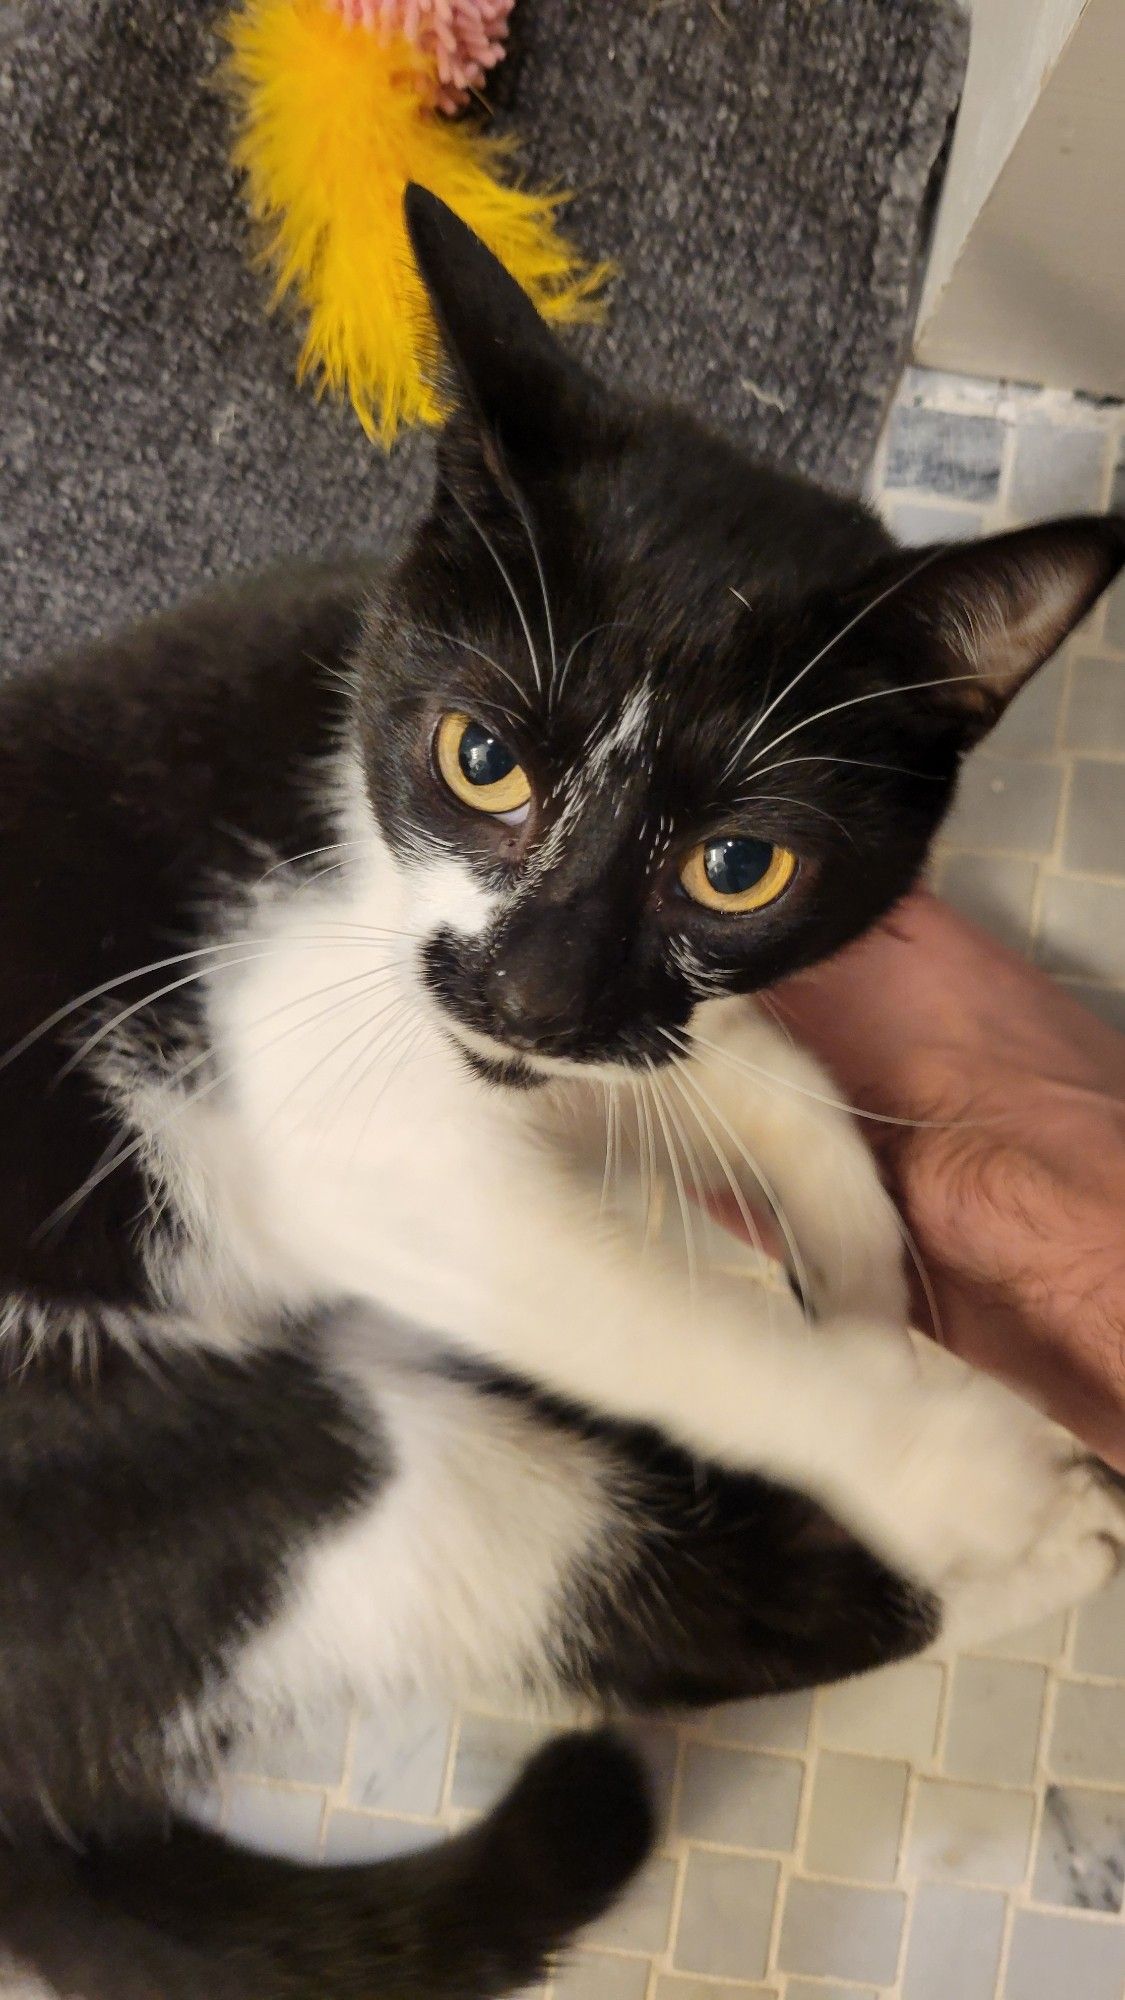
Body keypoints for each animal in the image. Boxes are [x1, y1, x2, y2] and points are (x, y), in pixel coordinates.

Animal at [2, 188, 1120, 2000]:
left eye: (739, 865)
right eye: (482, 761)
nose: (524, 991)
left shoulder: (570, 1023)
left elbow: (729, 1068)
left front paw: (855, 1257)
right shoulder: (326, 1066)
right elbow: (660, 1316)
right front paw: (948, 1456)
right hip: (145, 1463)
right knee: (587, 1591)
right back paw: (1020, 1554)